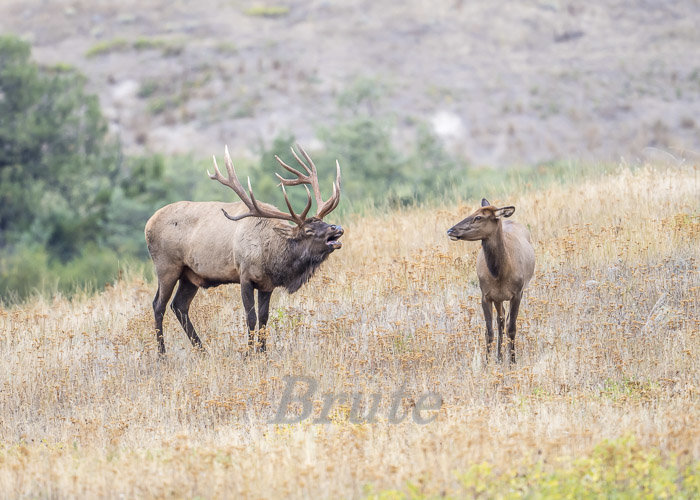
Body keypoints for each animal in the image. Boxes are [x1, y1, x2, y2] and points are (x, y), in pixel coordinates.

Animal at [146, 145, 344, 356]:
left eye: (323, 222)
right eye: (308, 230)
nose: (337, 228)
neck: (272, 258)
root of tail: (148, 223)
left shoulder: (267, 284)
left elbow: (264, 317)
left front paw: (263, 352)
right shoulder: (245, 275)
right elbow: (251, 317)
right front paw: (248, 354)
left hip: (190, 274)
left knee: (179, 306)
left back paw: (203, 351)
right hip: (167, 265)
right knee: (159, 305)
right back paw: (162, 355)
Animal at [448, 199, 536, 364]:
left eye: (478, 217)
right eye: (472, 212)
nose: (450, 231)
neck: (499, 273)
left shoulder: (517, 293)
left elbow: (512, 328)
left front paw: (513, 362)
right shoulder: (486, 295)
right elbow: (488, 331)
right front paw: (487, 363)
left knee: (505, 322)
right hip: (498, 298)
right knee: (500, 320)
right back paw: (499, 357)